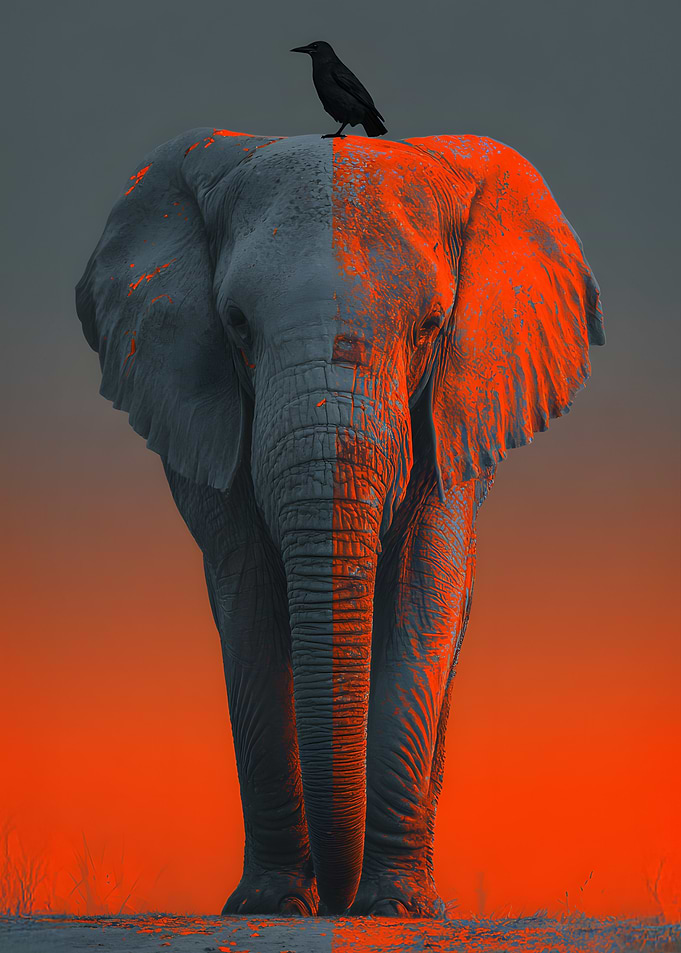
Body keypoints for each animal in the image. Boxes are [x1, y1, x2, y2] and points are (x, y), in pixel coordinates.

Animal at [76, 127, 604, 918]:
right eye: (236, 325)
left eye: (431, 325)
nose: (336, 899)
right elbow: (249, 602)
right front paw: (268, 905)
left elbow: (423, 592)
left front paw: (393, 909)